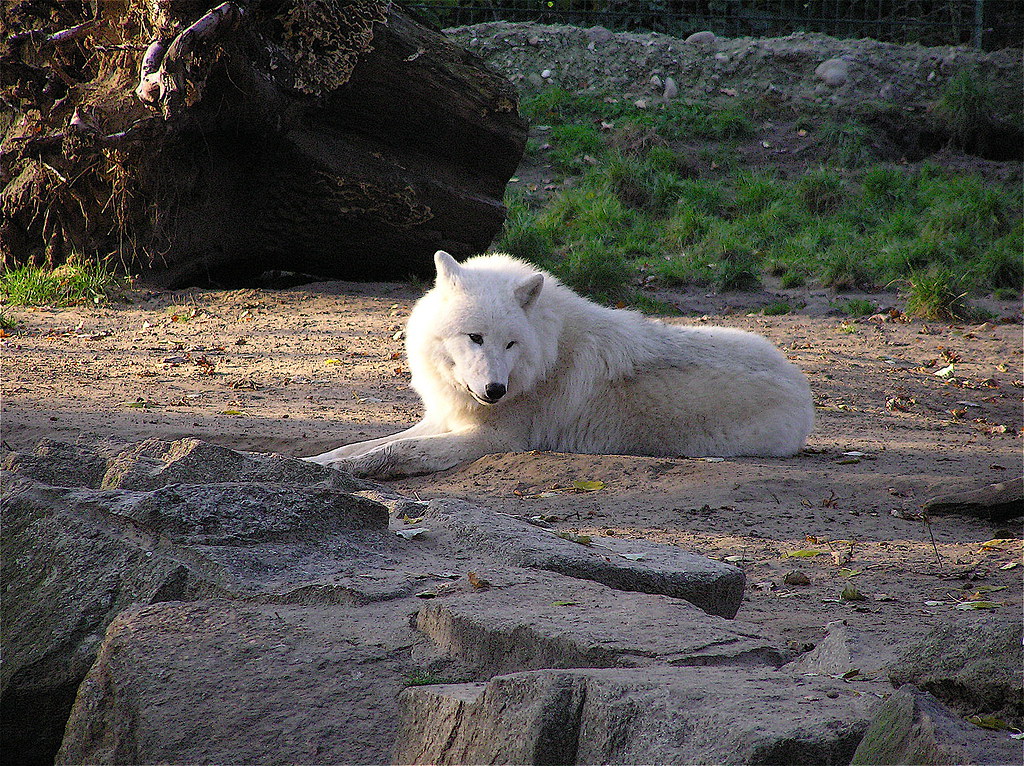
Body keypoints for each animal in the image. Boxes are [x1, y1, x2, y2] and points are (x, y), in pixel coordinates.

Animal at [305, 251, 814, 479]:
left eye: (510, 344)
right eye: (475, 338)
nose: (495, 391)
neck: (545, 354)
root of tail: (803, 387)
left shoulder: (493, 440)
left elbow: (397, 452)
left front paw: (350, 471)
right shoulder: (445, 419)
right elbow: (363, 444)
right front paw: (317, 462)